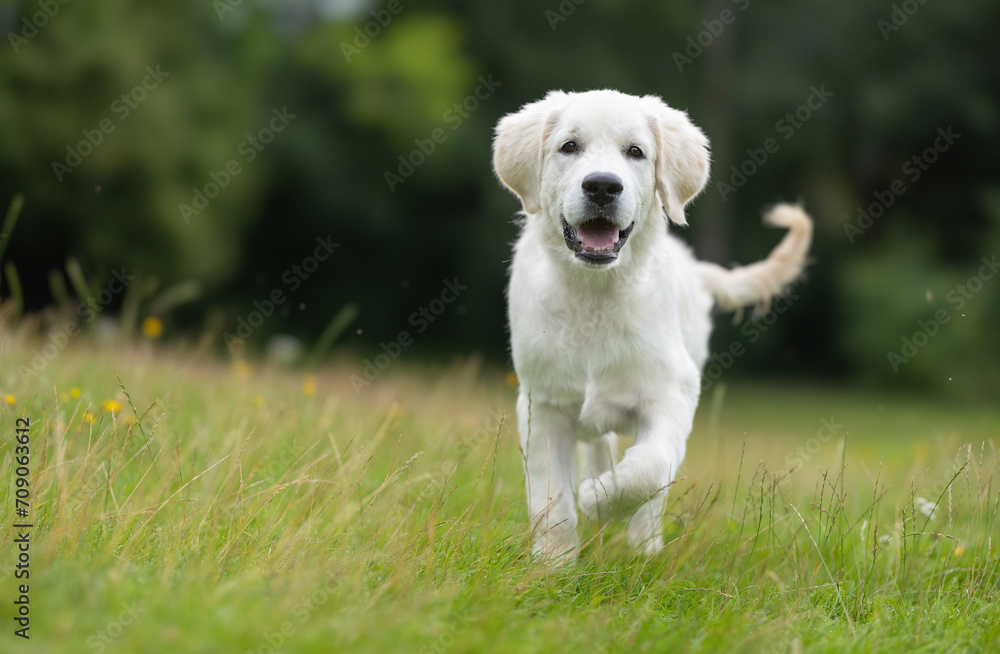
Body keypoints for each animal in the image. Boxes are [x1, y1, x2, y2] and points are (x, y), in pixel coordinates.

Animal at [492, 89, 812, 564]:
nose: (602, 186)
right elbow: (551, 496)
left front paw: (599, 498)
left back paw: (644, 545)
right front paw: (554, 563)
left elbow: (649, 467)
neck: (595, 294)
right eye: (569, 146)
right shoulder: (542, 404)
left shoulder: (673, 392)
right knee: (598, 445)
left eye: (636, 152)